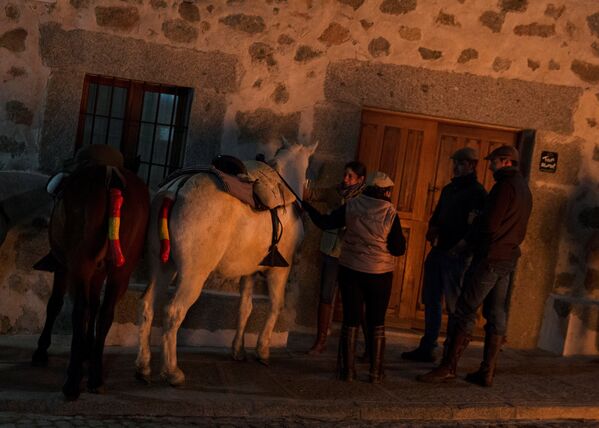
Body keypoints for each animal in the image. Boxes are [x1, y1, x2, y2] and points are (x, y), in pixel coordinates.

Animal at [31, 155, 151, 400]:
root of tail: (111, 176)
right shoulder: (99, 273)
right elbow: (96, 306)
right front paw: (88, 348)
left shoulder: (64, 267)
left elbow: (55, 304)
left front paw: (41, 349)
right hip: (120, 271)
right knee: (105, 313)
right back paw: (96, 376)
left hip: (80, 263)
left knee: (80, 310)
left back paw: (72, 381)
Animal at [136, 140, 318, 384]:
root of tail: (176, 190)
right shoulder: (279, 272)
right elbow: (275, 306)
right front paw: (262, 350)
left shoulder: (249, 272)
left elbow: (245, 308)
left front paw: (238, 350)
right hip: (193, 275)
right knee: (174, 312)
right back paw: (172, 371)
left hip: (162, 267)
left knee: (147, 306)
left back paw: (143, 366)